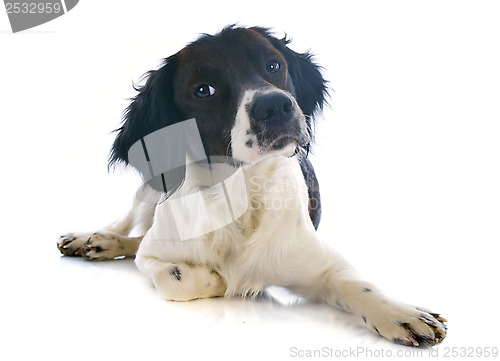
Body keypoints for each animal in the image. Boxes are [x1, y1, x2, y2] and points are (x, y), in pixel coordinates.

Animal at [56, 25, 448, 346]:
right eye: (204, 90)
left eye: (273, 66)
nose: (276, 105)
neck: (238, 197)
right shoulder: (153, 256)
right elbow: (174, 278)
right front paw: (213, 279)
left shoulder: (321, 265)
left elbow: (358, 284)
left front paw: (402, 314)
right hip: (152, 188)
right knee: (127, 224)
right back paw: (93, 239)